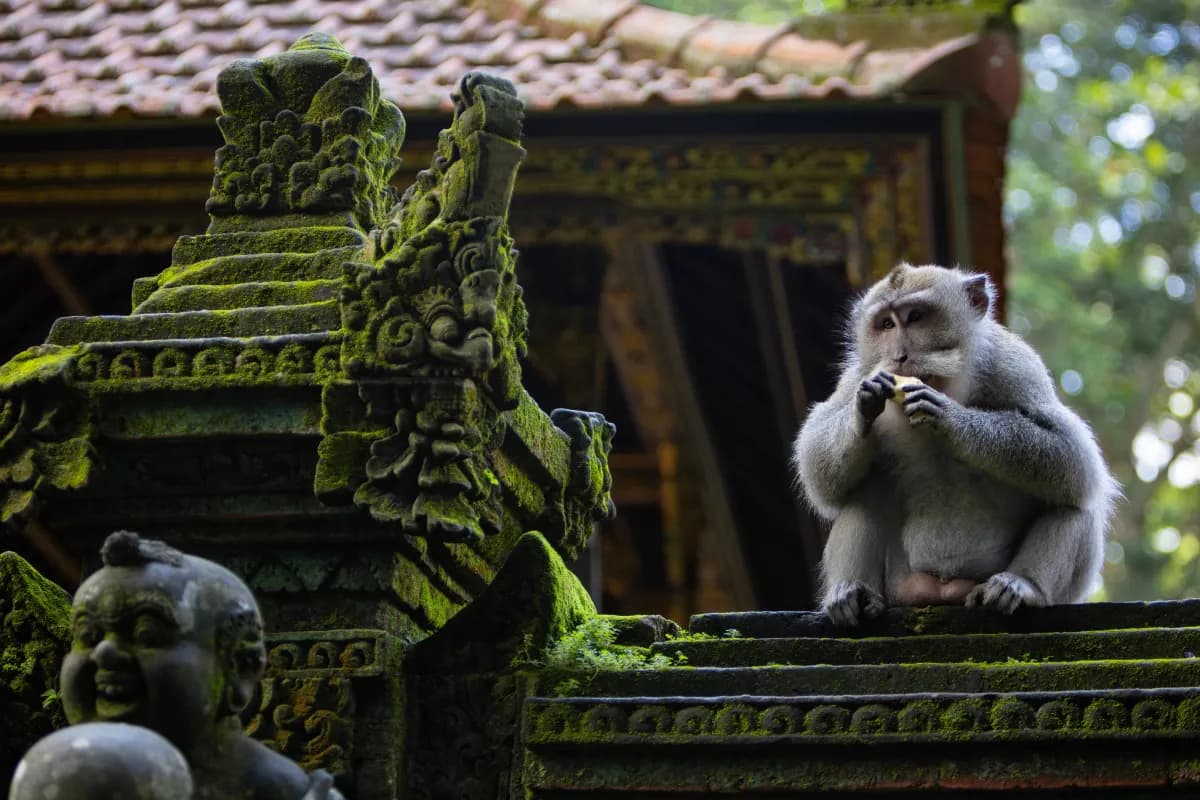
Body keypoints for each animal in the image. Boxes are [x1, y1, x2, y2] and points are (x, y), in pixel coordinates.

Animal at [792, 263, 1119, 625]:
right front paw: (863, 405)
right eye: (887, 325)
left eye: (916, 317)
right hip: (899, 584)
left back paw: (1022, 586)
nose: (899, 356)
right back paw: (855, 594)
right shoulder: (855, 376)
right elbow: (818, 466)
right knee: (861, 496)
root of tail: (943, 590)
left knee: (1074, 499)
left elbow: (1072, 453)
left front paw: (949, 417)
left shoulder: (1014, 365)